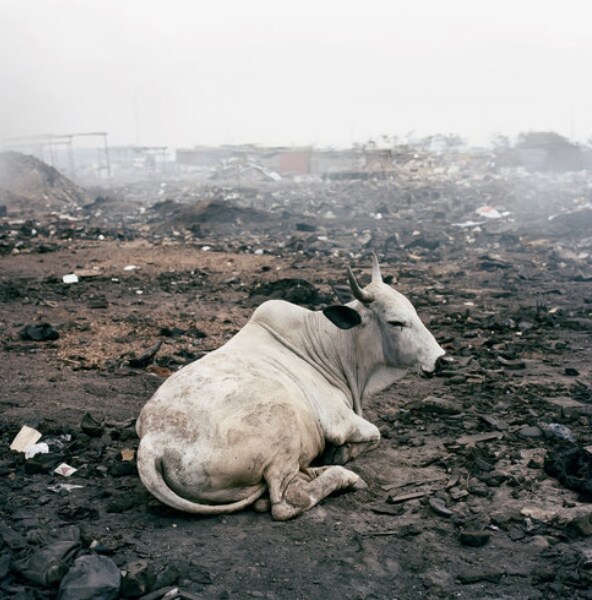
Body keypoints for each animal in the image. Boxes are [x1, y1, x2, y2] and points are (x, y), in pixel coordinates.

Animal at [138, 256, 444, 520]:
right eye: (396, 322)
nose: (441, 359)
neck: (332, 347)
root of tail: (153, 442)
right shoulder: (340, 421)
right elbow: (375, 435)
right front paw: (341, 453)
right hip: (282, 429)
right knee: (286, 501)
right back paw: (341, 476)